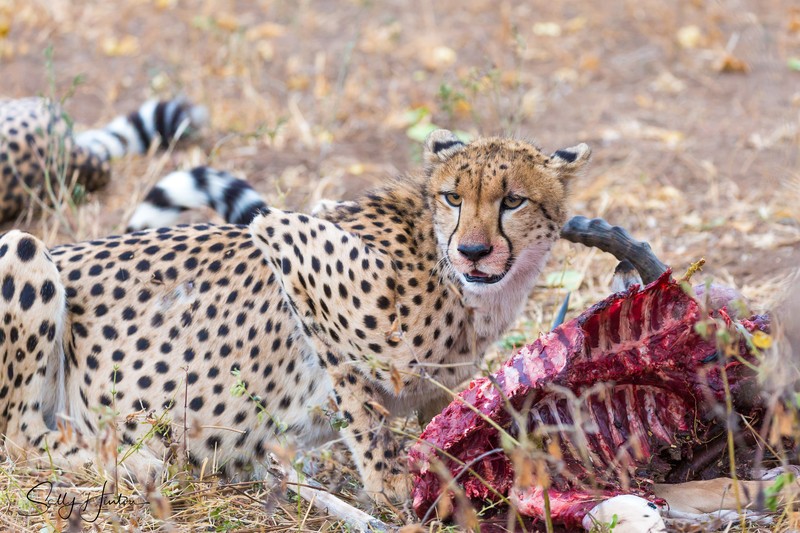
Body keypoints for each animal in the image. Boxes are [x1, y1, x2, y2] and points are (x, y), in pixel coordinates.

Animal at [0, 129, 590, 502]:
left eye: (512, 201)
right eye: (452, 197)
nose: (472, 251)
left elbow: (454, 417)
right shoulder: (288, 239)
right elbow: (360, 402)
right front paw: (391, 484)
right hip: (21, 249)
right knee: (20, 433)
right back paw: (137, 460)